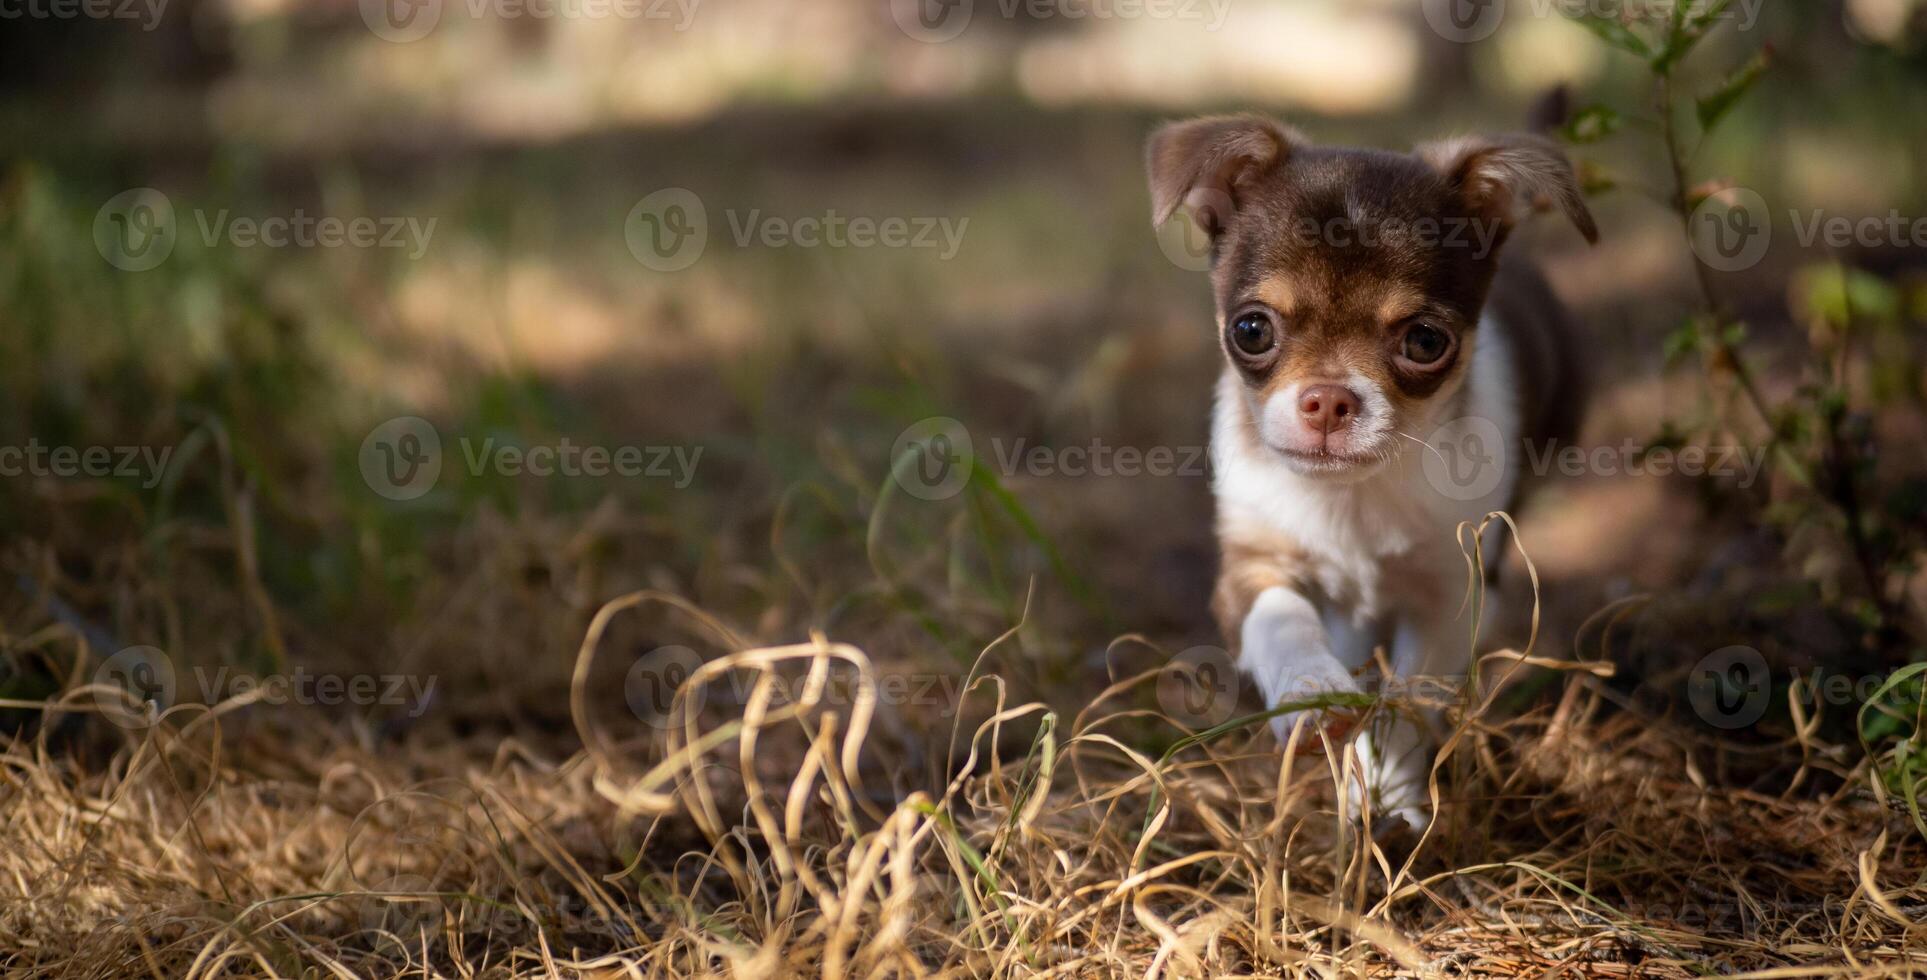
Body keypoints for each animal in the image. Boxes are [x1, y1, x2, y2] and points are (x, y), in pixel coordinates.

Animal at [1148, 118, 1587, 827]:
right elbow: (1281, 619)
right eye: (1251, 329)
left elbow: (1407, 702)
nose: (1328, 398)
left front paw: (1389, 794)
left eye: (1426, 342)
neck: (1349, 500)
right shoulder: (1249, 568)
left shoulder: (1453, 598)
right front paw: (1314, 694)